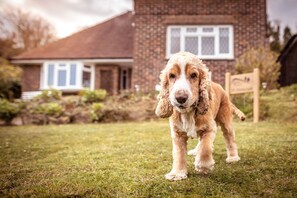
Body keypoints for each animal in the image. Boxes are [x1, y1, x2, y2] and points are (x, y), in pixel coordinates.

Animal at [154, 51, 244, 181]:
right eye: (171, 75)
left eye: (193, 75)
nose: (180, 98)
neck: (188, 112)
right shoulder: (177, 134)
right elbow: (179, 153)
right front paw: (177, 173)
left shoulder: (210, 128)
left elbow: (205, 147)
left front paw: (203, 166)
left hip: (225, 119)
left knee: (229, 138)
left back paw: (233, 157)